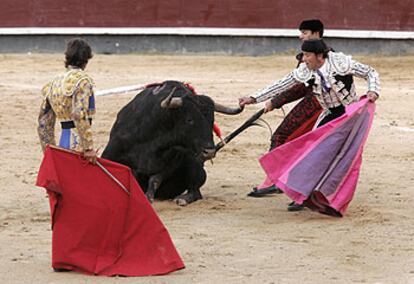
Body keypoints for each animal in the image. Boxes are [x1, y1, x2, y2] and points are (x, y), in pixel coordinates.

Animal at [102, 81, 244, 205]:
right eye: (189, 120)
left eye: (212, 120)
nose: (209, 152)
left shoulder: (174, 159)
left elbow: (155, 179)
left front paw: (148, 197)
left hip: (193, 162)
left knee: (195, 192)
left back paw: (182, 199)